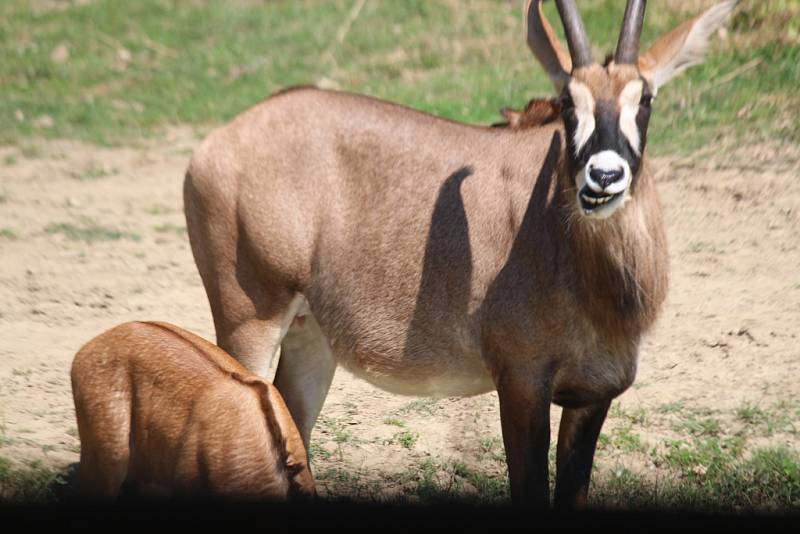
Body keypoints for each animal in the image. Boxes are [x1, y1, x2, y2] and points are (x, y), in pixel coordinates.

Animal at [181, 1, 736, 510]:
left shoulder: (592, 397)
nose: (603, 178)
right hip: (250, 321)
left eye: (645, 98)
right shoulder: (521, 384)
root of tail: (219, 142)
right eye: (568, 102)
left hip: (309, 339)